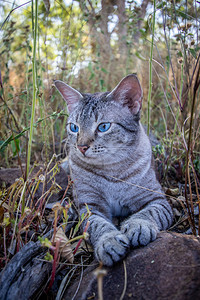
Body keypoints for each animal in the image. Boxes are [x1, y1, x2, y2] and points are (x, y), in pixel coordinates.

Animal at [54, 75, 173, 268]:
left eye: (103, 127)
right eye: (74, 128)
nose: (81, 147)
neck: (112, 170)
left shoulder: (156, 199)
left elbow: (148, 213)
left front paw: (138, 225)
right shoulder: (90, 207)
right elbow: (98, 225)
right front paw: (108, 241)